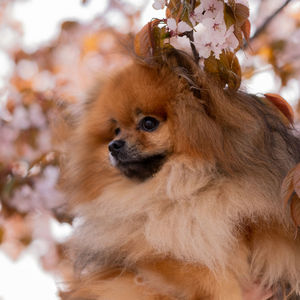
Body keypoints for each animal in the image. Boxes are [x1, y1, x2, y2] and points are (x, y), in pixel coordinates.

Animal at [59, 50, 300, 298]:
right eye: (116, 130)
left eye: (148, 123)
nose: (113, 146)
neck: (189, 187)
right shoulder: (157, 253)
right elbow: (205, 274)